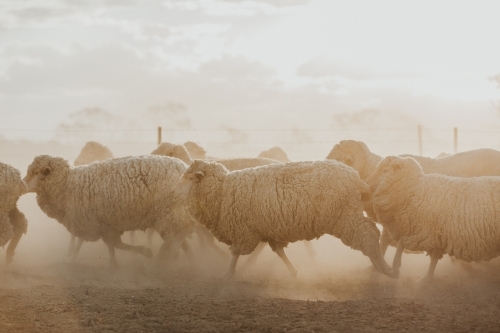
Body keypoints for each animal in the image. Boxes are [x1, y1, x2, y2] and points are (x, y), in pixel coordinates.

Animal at [24, 154, 194, 266]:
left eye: (35, 173)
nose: (22, 184)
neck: (67, 185)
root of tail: (183, 167)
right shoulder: (100, 224)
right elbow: (109, 245)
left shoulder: (94, 222)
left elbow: (114, 245)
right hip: (173, 214)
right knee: (181, 234)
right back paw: (182, 257)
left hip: (167, 212)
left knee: (178, 234)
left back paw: (165, 257)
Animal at [172, 158, 398, 278]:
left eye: (189, 178)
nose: (172, 192)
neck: (222, 192)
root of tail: (357, 178)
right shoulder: (268, 230)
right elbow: (279, 252)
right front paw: (293, 271)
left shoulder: (244, 232)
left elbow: (235, 254)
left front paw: (227, 274)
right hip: (348, 214)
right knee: (371, 233)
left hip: (345, 217)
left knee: (369, 236)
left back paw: (386, 269)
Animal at [368, 157, 500, 282]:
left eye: (384, 170)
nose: (368, 183)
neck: (414, 190)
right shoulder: (436, 237)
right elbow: (434, 259)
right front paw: (427, 279)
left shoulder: (423, 233)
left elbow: (402, 243)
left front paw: (395, 267)